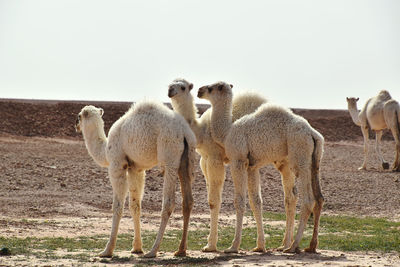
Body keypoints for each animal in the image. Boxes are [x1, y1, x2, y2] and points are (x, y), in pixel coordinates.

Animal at [75, 101, 197, 258]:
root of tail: (184, 131)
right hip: (186, 158)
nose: (76, 125)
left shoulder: (117, 164)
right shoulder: (135, 169)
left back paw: (153, 250)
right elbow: (135, 205)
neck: (105, 149)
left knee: (169, 203)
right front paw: (137, 248)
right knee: (187, 201)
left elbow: (117, 206)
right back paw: (181, 250)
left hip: (169, 154)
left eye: (79, 116)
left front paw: (107, 250)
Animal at [197, 82, 324, 255]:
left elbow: (239, 200)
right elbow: (255, 200)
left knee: (307, 200)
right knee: (318, 198)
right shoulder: (252, 165)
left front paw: (233, 247)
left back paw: (292, 246)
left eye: (211, 88)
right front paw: (259, 246)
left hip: (300, 157)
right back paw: (310, 246)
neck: (228, 131)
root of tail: (312, 133)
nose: (199, 90)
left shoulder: (238, 160)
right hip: (314, 161)